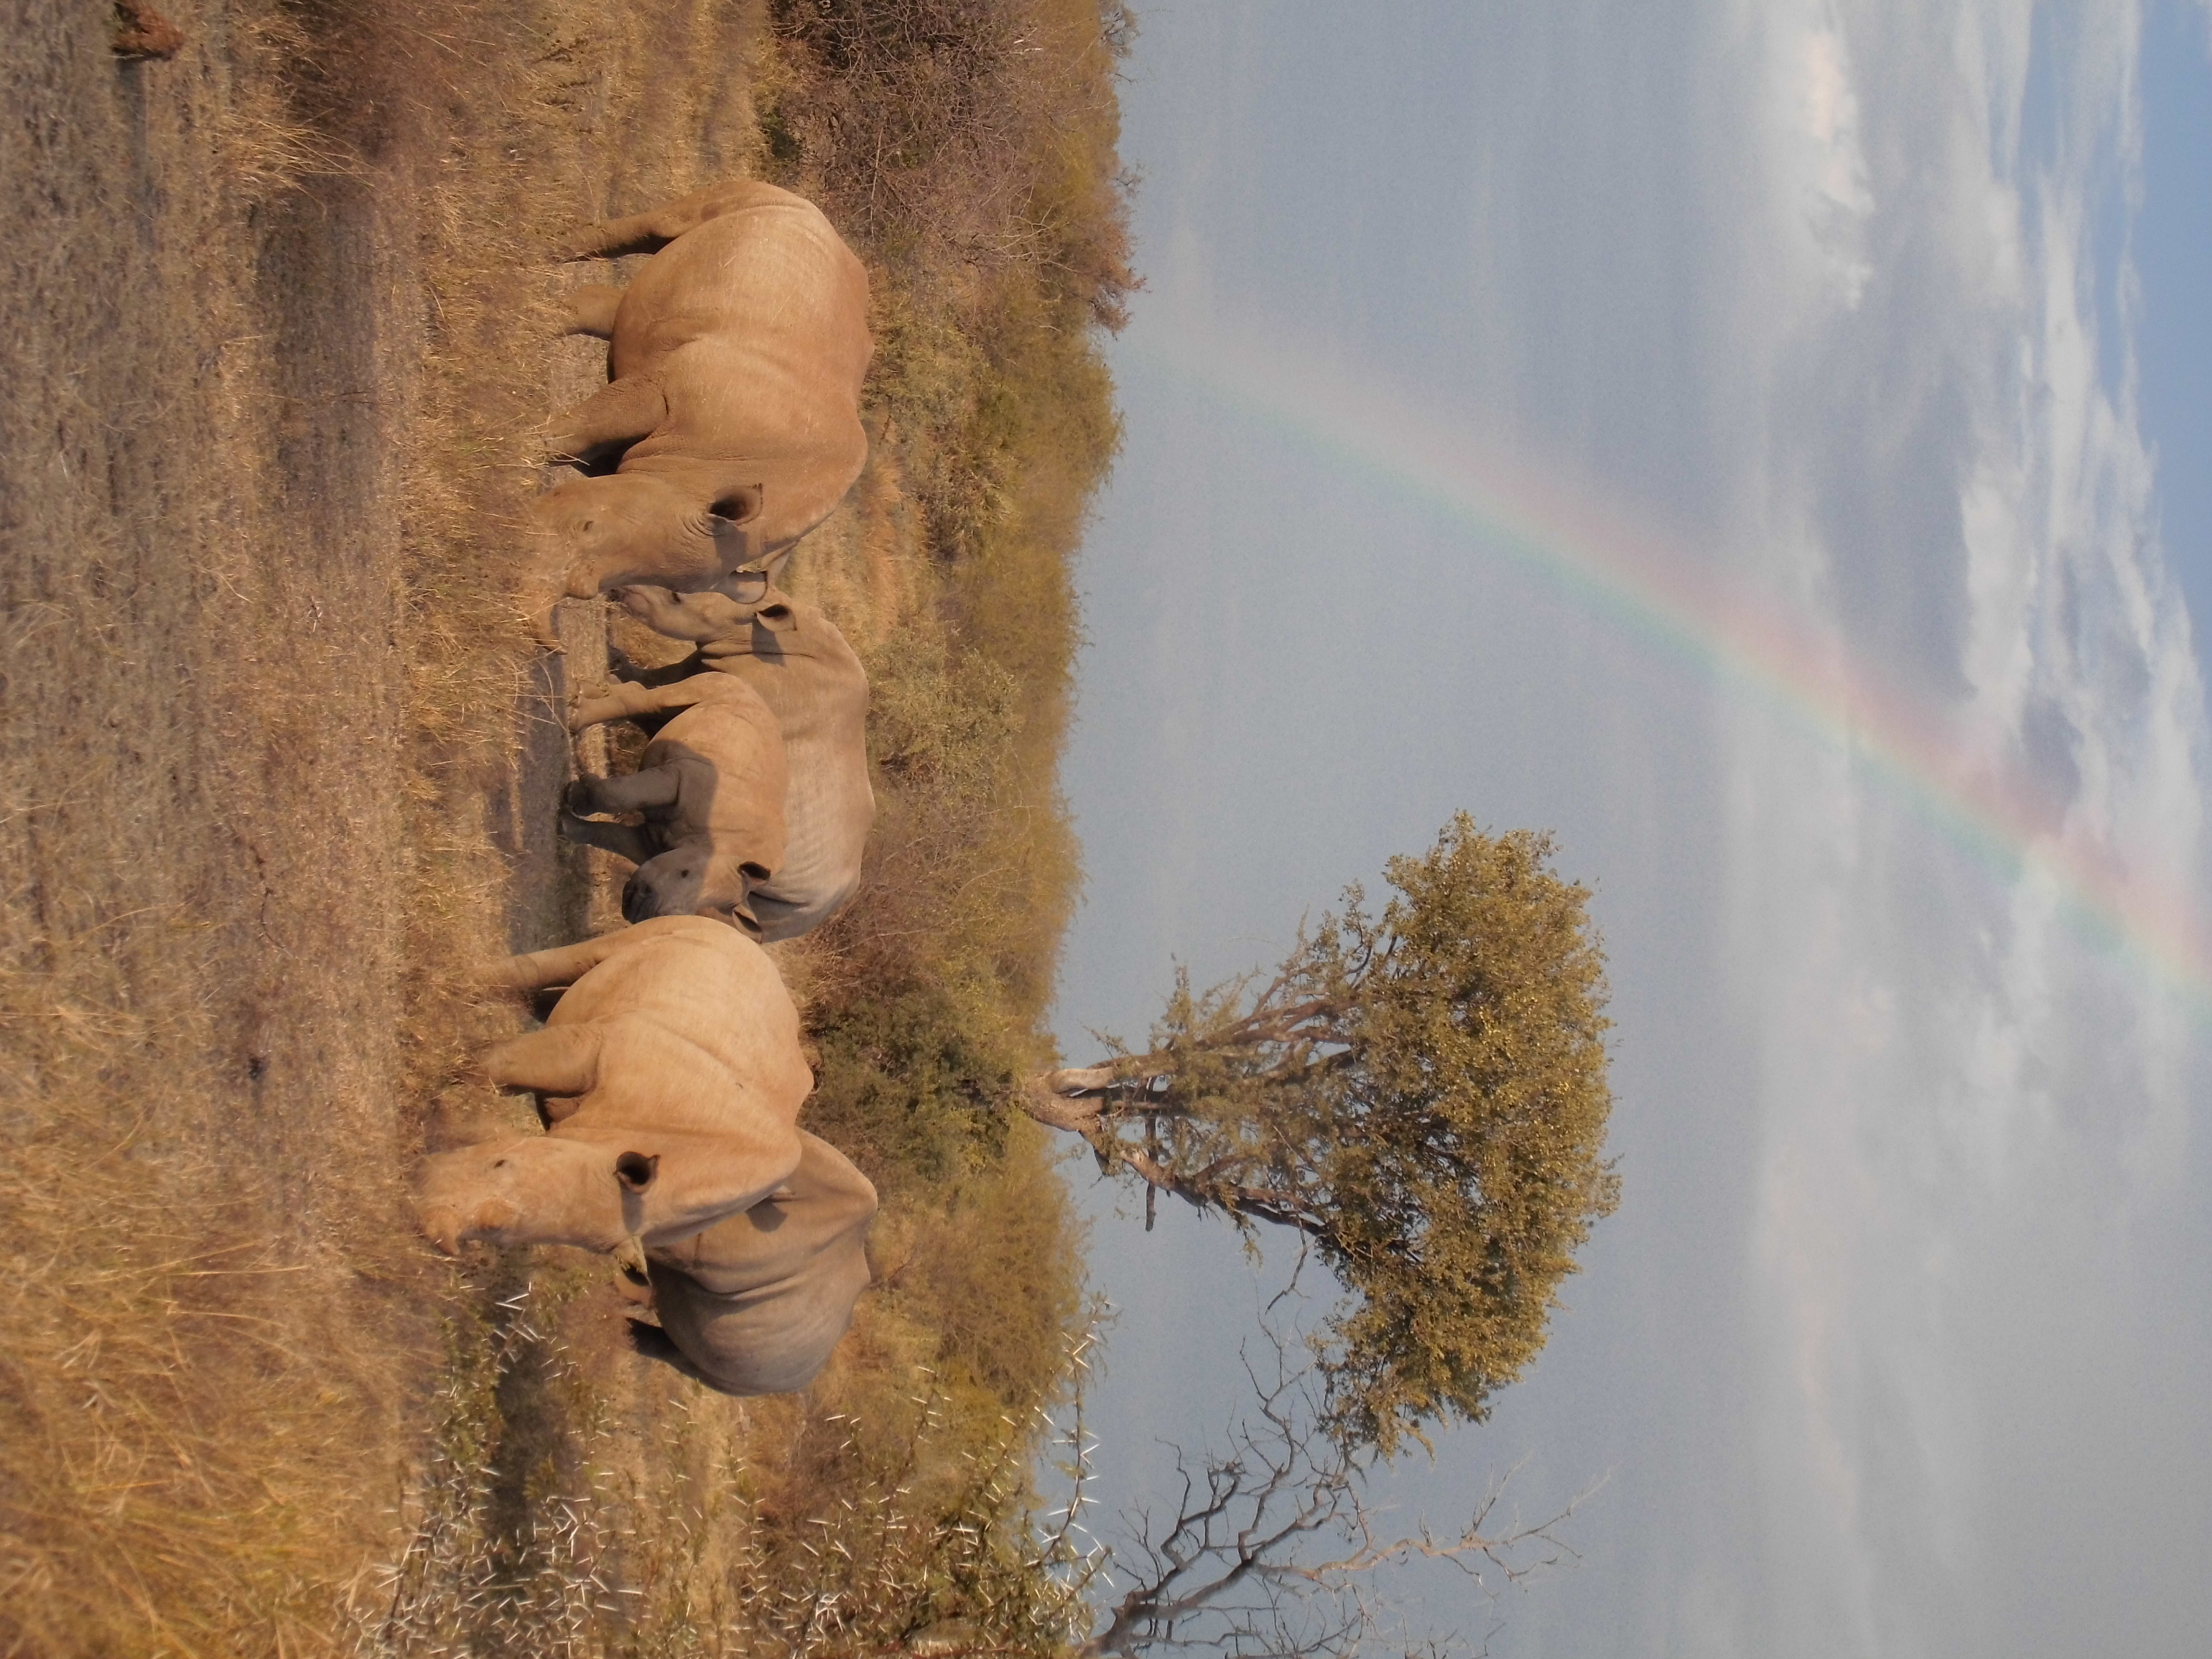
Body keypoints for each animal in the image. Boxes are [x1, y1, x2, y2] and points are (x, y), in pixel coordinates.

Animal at [416, 917, 811, 1260]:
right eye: (500, 1163)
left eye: (497, 1235)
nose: (436, 1233)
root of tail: (759, 953)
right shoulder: (601, 1049)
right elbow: (495, 1065)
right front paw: (435, 1081)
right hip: (701, 929)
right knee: (592, 954)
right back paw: (459, 982)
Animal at [524, 180, 873, 646]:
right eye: (587, 527)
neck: (693, 478)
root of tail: (830, 228)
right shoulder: (663, 393)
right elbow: (580, 430)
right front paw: (514, 449)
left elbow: (579, 447)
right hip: (767, 198)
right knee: (664, 225)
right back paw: (543, 253)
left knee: (626, 312)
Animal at [564, 672, 790, 931]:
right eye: (685, 873)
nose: (644, 911)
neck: (721, 845)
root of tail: (753, 690)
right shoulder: (682, 777)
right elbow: (617, 798)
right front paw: (575, 798)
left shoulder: (650, 845)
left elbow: (606, 835)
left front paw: (565, 825)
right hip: (722, 686)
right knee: (663, 700)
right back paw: (575, 718)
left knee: (654, 718)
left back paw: (587, 693)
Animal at [600, 580, 874, 940]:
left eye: (677, 597)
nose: (620, 590)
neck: (754, 631)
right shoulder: (707, 662)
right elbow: (656, 678)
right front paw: (614, 664)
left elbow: (652, 702)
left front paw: (609, 685)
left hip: (788, 909)